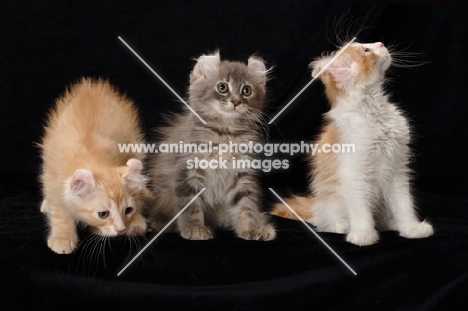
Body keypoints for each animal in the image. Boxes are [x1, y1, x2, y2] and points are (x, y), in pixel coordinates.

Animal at [41, 77, 149, 254]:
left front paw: (134, 220)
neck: (91, 155)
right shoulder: (52, 179)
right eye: (103, 214)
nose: (121, 230)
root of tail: (91, 86)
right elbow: (59, 211)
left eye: (128, 210)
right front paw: (63, 237)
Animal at [148, 51, 276, 241]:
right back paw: (163, 223)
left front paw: (252, 228)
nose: (236, 102)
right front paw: (194, 228)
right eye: (222, 87)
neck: (225, 133)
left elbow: (245, 205)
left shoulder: (242, 173)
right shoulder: (188, 171)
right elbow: (190, 205)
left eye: (246, 90)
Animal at [272, 42, 434, 246]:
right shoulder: (355, 175)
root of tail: (316, 205)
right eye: (366, 50)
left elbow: (404, 205)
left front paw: (412, 228)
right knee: (323, 222)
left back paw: (390, 223)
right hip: (334, 200)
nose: (381, 43)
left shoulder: (397, 171)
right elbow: (361, 210)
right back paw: (342, 225)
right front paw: (363, 234)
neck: (375, 112)